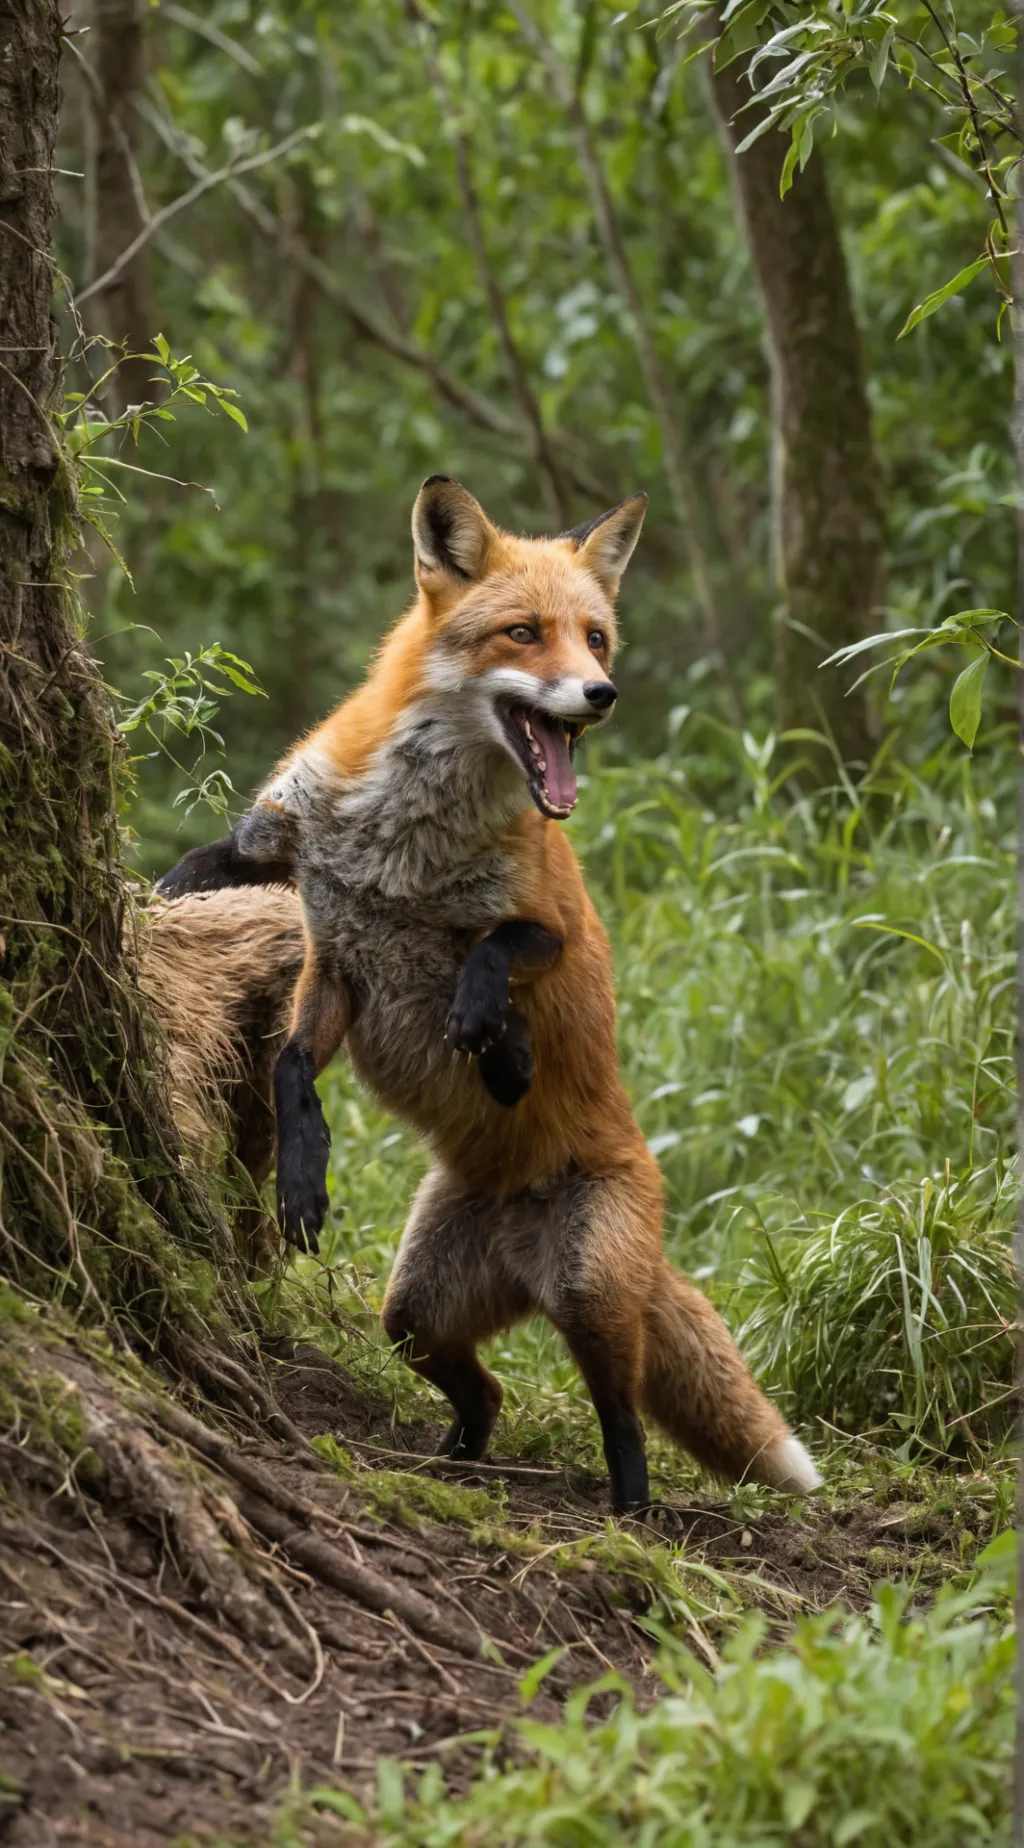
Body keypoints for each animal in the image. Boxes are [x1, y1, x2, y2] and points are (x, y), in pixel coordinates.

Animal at [157, 475, 821, 1512]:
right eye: (523, 633)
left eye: (596, 639)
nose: (603, 695)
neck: (406, 846)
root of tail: (523, 1231)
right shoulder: (334, 949)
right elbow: (290, 1058)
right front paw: (302, 1180)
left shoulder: (554, 922)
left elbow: (495, 952)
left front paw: (493, 1040)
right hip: (418, 1309)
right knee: (487, 1386)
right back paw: (458, 1454)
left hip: (588, 1291)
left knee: (623, 1416)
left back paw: (628, 1509)